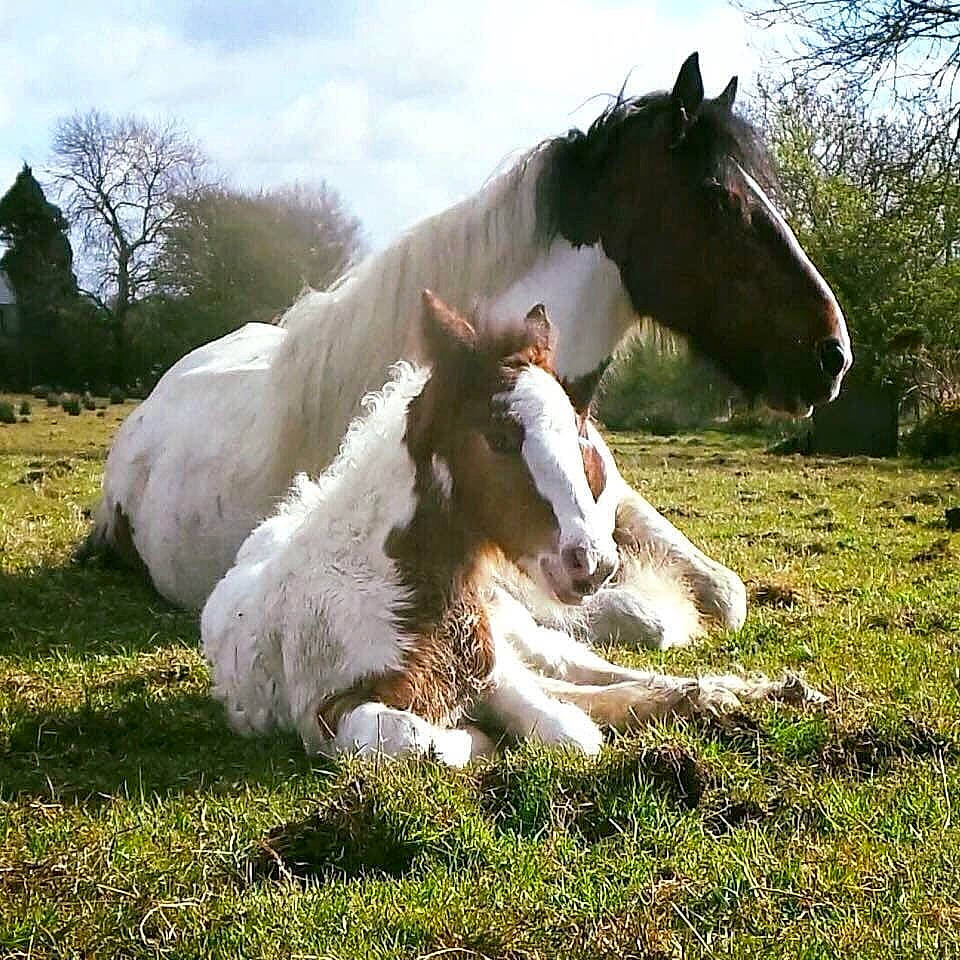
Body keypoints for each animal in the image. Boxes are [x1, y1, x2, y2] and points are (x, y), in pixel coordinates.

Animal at [202, 292, 822, 764]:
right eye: (500, 437)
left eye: (579, 435)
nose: (593, 564)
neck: (389, 584)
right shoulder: (326, 711)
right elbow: (414, 737)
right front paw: (472, 740)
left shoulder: (491, 664)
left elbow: (566, 727)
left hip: (525, 633)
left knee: (603, 674)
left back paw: (766, 691)